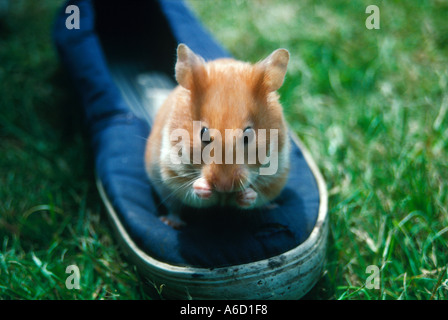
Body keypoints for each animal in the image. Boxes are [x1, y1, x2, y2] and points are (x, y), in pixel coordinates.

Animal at [144, 43, 290, 228]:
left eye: (248, 136)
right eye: (203, 134)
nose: (224, 186)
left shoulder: (276, 175)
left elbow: (256, 196)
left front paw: (247, 195)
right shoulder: (171, 170)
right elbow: (191, 191)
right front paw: (203, 187)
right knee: (174, 208)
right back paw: (170, 222)